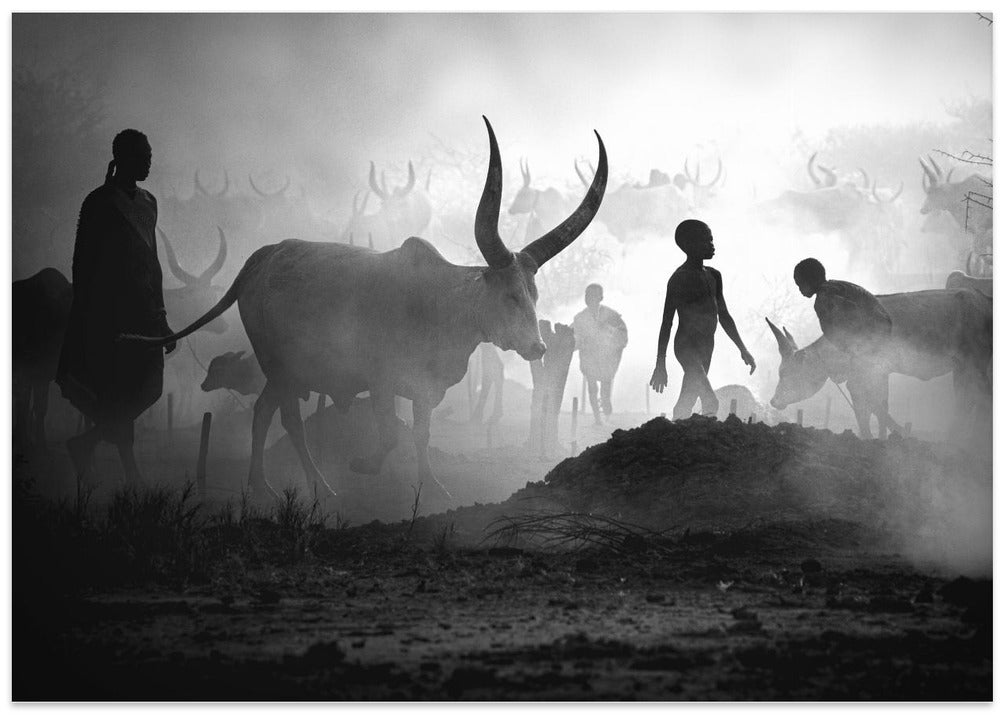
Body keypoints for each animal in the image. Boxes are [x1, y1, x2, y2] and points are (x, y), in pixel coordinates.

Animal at [13, 267, 74, 450]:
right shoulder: (26, 371)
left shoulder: (42, 374)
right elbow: (25, 406)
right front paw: (25, 442)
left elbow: (40, 408)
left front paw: (39, 442)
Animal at [121, 116, 608, 499]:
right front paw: (364, 466)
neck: (438, 305)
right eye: (508, 294)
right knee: (289, 420)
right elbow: (391, 433)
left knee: (263, 413)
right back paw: (320, 484)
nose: (538, 348)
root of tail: (262, 258)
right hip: (280, 365)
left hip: (285, 373)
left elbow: (421, 435)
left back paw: (262, 485)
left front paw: (432, 485)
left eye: (534, 293)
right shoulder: (380, 381)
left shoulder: (425, 390)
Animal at [766, 288, 992, 439]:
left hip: (976, 362)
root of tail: (983, 298)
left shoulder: (870, 373)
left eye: (785, 372)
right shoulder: (873, 374)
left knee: (978, 398)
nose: (774, 401)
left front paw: (895, 435)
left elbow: (874, 405)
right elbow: (873, 406)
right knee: (966, 399)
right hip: (963, 367)